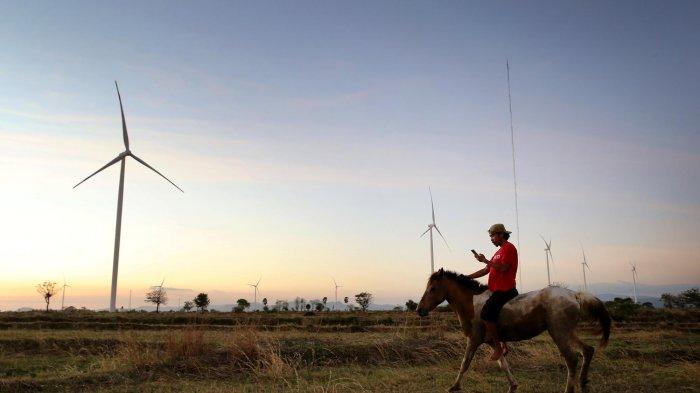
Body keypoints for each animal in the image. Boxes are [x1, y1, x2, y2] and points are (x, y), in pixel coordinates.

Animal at [418, 268, 608, 392]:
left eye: (432, 288)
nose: (419, 309)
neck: (472, 304)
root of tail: (574, 295)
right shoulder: (492, 342)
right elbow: (503, 363)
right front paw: (513, 385)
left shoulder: (473, 339)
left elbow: (465, 363)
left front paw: (454, 386)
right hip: (568, 333)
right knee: (587, 350)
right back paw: (583, 383)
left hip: (559, 334)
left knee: (572, 359)